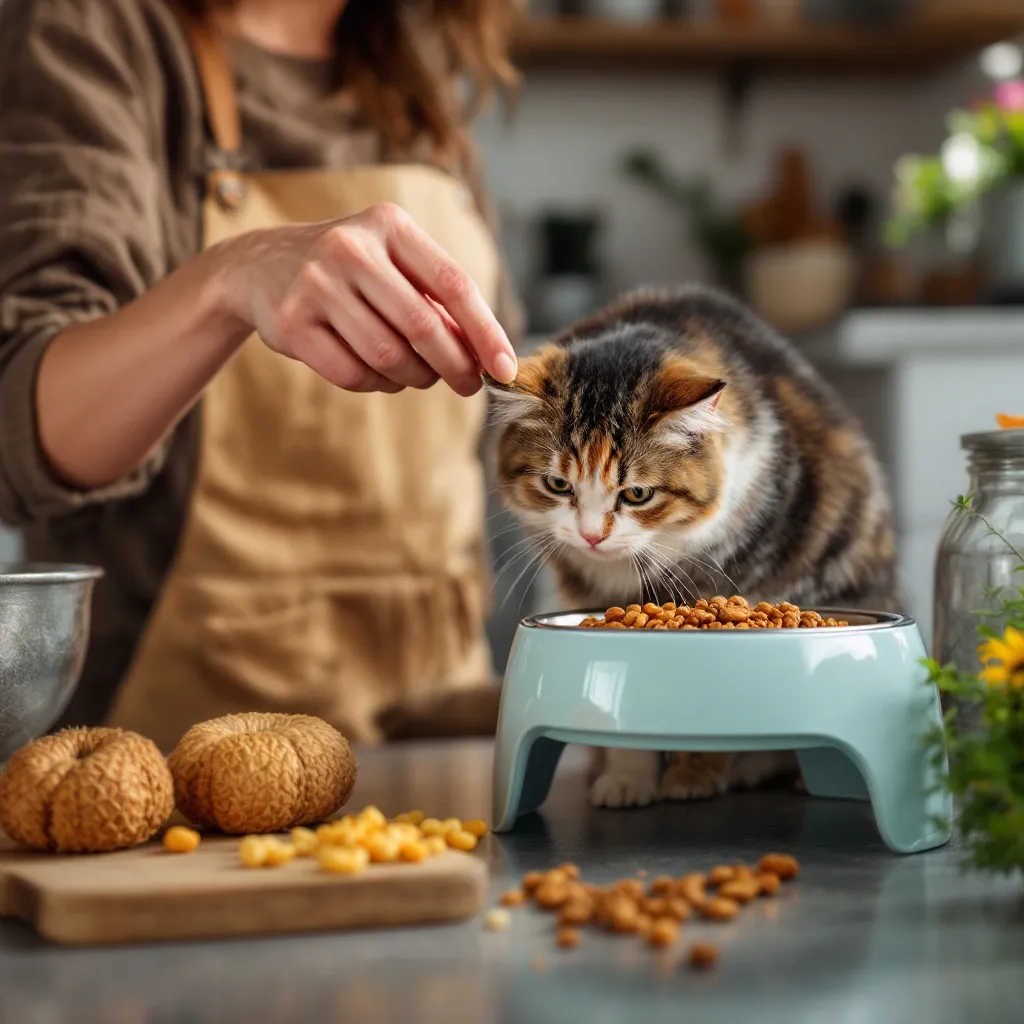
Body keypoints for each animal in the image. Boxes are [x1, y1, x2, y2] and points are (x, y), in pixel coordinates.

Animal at [487, 282, 897, 806]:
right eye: (558, 485)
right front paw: (627, 780)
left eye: (637, 494)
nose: (592, 535)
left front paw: (693, 777)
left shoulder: (737, 575)